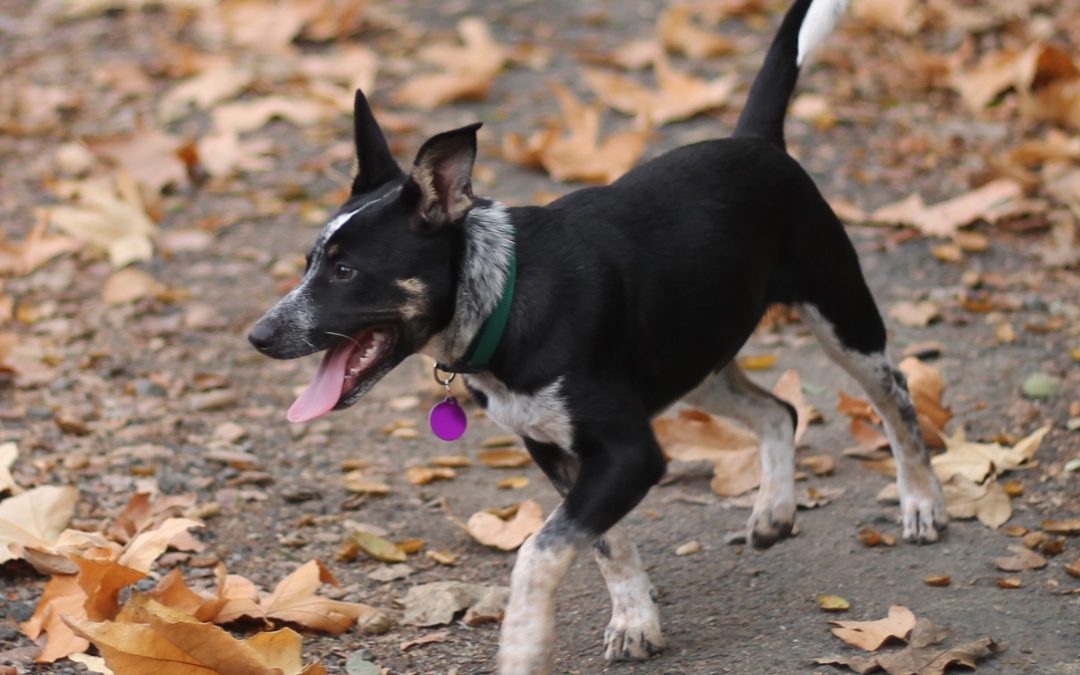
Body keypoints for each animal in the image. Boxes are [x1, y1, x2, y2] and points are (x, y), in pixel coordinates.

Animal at [245, 2, 946, 669]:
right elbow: (606, 544)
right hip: (695, 359)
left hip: (840, 316)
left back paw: (921, 503)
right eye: (310, 262)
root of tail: (757, 139)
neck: (504, 298)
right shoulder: (558, 451)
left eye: (345, 271)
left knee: (895, 397)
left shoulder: (631, 452)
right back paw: (774, 512)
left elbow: (539, 549)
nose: (258, 336)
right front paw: (636, 621)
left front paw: (525, 646)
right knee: (780, 411)